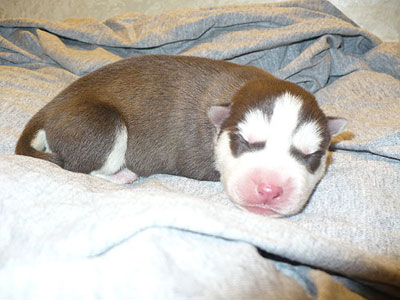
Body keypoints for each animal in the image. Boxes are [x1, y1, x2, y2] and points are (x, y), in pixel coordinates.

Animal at [15, 55, 346, 217]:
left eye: (312, 156)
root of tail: (50, 107)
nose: (269, 190)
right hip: (103, 126)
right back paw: (122, 176)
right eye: (244, 142)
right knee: (81, 168)